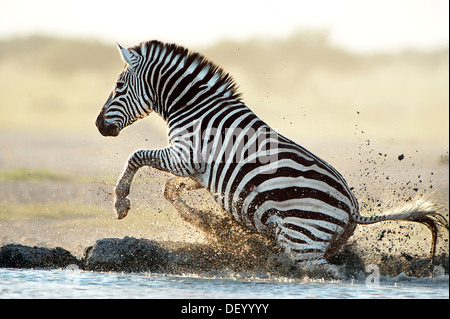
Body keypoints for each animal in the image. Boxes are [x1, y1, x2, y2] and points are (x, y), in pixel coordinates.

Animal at [95, 40, 446, 266]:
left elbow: (137, 156)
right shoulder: (198, 170)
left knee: (322, 272)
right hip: (319, 241)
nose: (98, 125)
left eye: (118, 87)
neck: (195, 107)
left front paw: (120, 202)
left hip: (303, 240)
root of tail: (353, 206)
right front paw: (207, 223)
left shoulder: (187, 156)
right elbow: (170, 189)